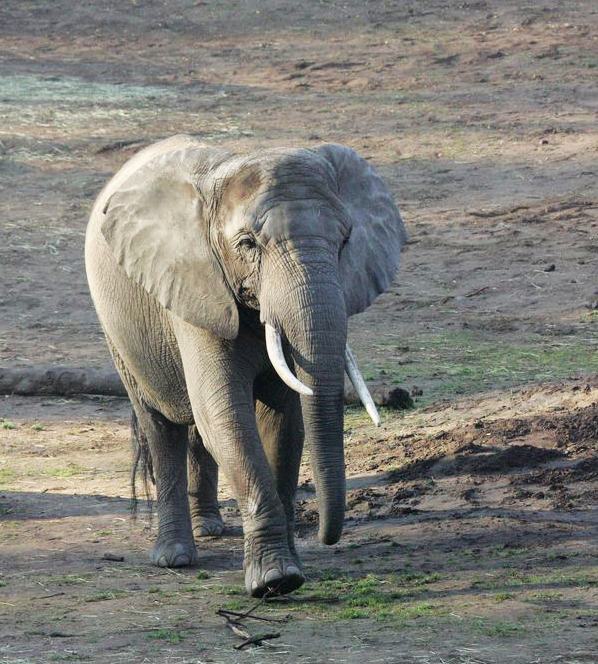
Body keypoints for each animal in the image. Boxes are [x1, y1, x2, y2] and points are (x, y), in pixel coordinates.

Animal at [85, 135, 408, 596]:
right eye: (248, 245)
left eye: (345, 240)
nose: (326, 537)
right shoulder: (196, 283)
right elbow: (226, 414)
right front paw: (276, 582)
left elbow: (282, 421)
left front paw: (290, 567)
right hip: (117, 329)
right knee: (161, 426)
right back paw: (175, 556)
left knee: (196, 426)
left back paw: (209, 528)